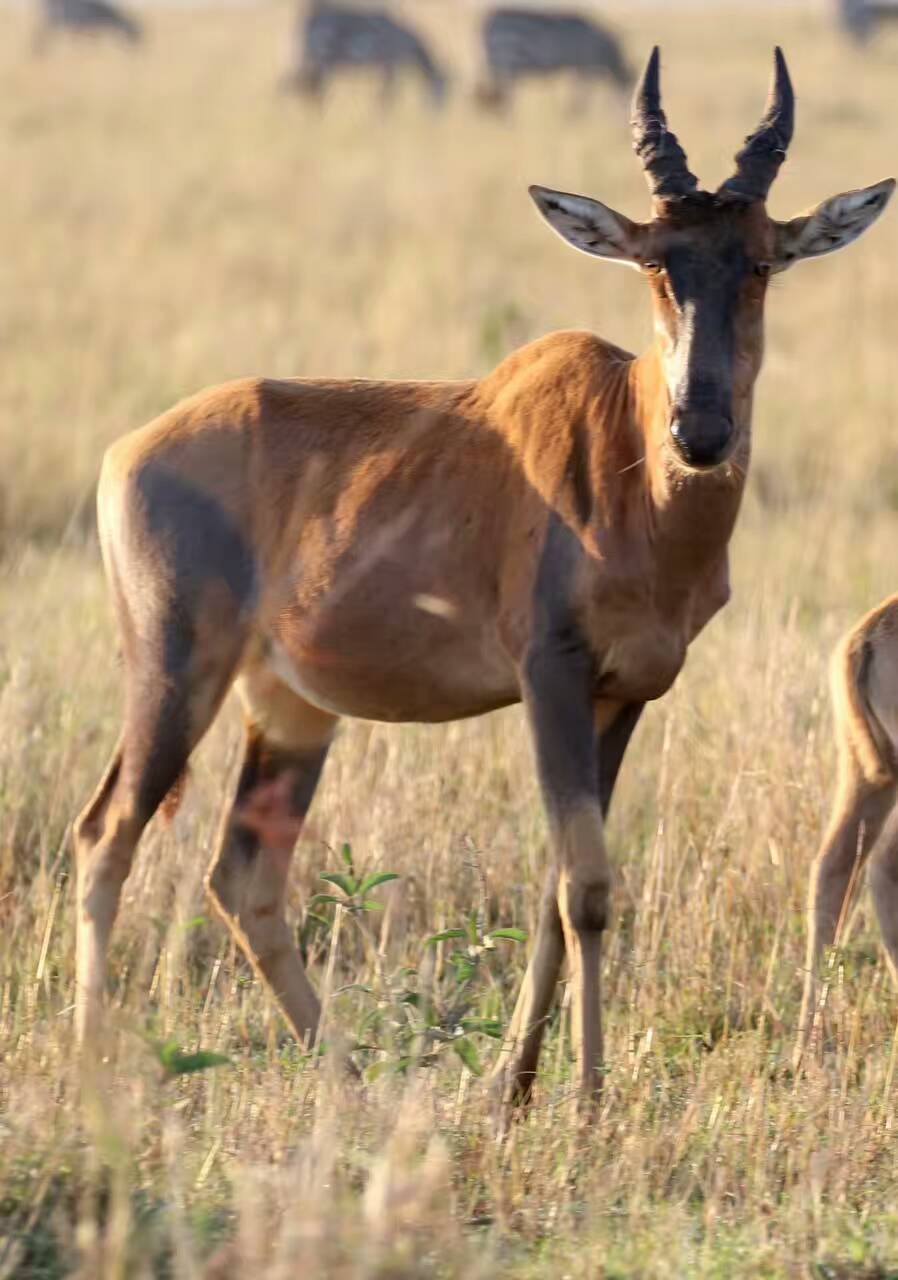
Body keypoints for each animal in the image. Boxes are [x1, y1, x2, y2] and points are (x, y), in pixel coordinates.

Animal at [73, 47, 895, 1111]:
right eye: (654, 263)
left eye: (759, 261)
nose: (701, 433)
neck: (619, 450)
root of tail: (127, 450)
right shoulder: (550, 673)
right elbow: (587, 887)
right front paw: (584, 1099)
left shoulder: (626, 693)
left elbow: (556, 887)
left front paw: (517, 1082)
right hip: (176, 670)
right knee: (108, 835)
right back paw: (94, 1070)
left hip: (289, 706)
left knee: (243, 875)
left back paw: (350, 1079)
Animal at [285, 0, 447, 106]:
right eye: (444, 91)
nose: (436, 122)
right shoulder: (390, 65)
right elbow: (387, 96)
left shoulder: (386, 67)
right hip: (318, 61)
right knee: (296, 86)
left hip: (313, 62)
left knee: (296, 85)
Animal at [478, 6, 634, 110]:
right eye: (629, 97)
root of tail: (489, 19)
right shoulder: (585, 65)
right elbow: (583, 94)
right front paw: (576, 113)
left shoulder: (578, 67)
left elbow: (578, 93)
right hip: (505, 59)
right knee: (504, 94)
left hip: (500, 63)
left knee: (500, 93)